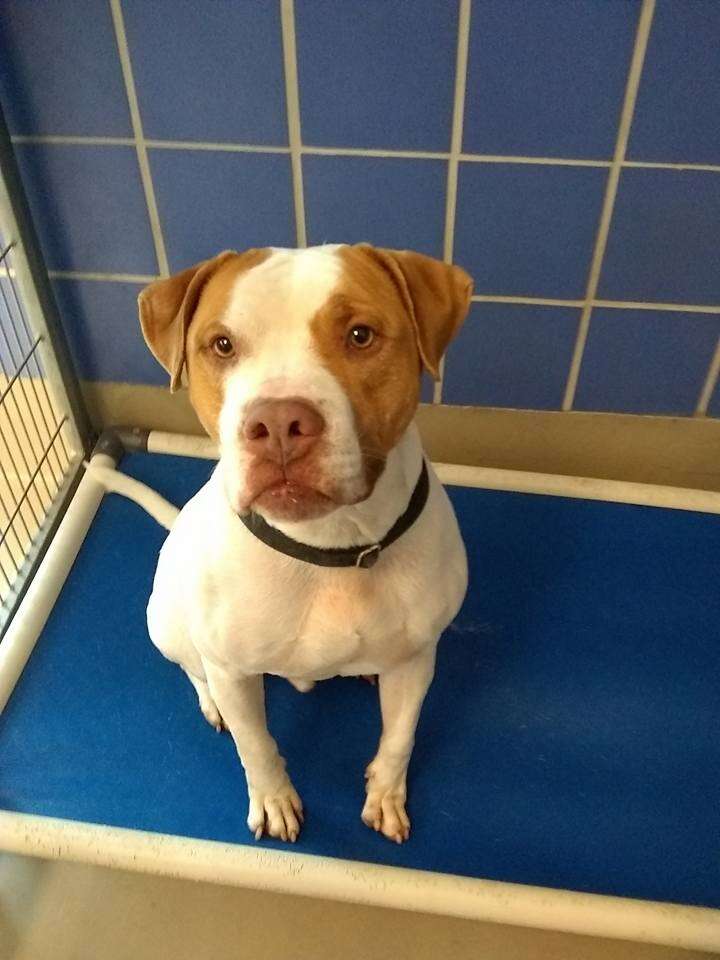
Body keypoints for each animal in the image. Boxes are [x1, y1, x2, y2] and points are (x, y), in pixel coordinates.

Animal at [104, 244, 472, 844]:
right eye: (222, 344)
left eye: (360, 335)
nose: (277, 422)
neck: (330, 547)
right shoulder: (233, 669)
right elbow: (256, 747)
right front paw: (274, 801)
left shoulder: (418, 658)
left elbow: (399, 738)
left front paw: (385, 796)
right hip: (165, 623)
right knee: (194, 668)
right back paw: (212, 703)